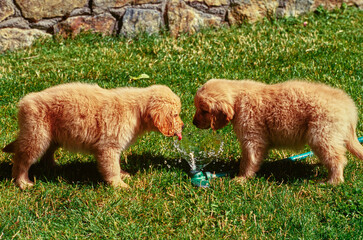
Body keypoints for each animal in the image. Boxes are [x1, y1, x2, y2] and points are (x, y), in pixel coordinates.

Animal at [2, 82, 185, 189]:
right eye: (175, 115)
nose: (183, 126)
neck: (137, 112)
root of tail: (24, 101)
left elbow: (116, 165)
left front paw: (123, 175)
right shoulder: (108, 147)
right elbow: (111, 167)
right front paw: (119, 185)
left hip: (52, 136)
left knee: (47, 153)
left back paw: (53, 167)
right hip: (36, 135)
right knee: (21, 160)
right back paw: (23, 182)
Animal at [193, 79, 363, 184]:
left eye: (204, 110)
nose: (193, 122)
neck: (238, 99)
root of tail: (349, 108)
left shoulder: (252, 138)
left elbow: (248, 160)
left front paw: (242, 178)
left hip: (322, 134)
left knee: (337, 159)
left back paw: (332, 181)